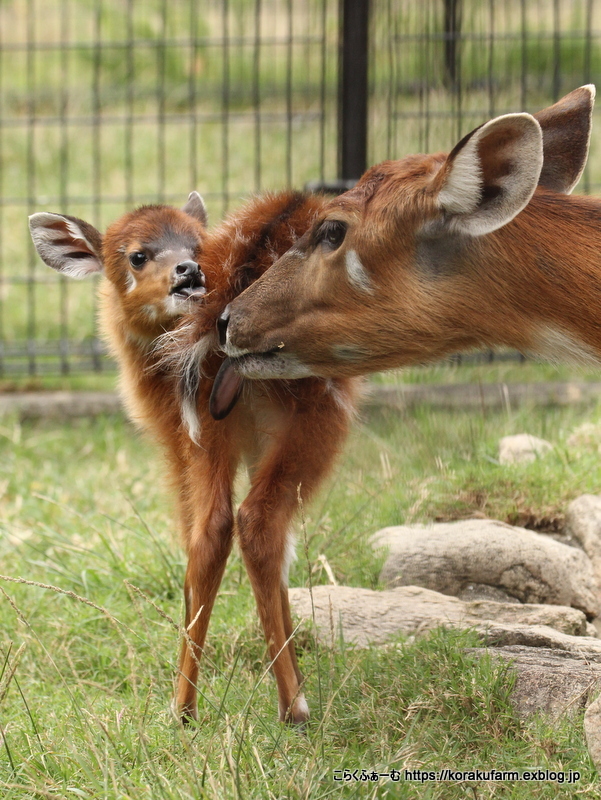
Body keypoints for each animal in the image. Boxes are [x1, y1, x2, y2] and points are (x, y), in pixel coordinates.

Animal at [29, 192, 356, 724]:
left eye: (195, 244)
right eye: (138, 255)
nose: (188, 270)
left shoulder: (183, 433)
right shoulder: (209, 435)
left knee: (223, 528)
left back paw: (204, 705)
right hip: (289, 415)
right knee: (243, 524)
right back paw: (275, 702)